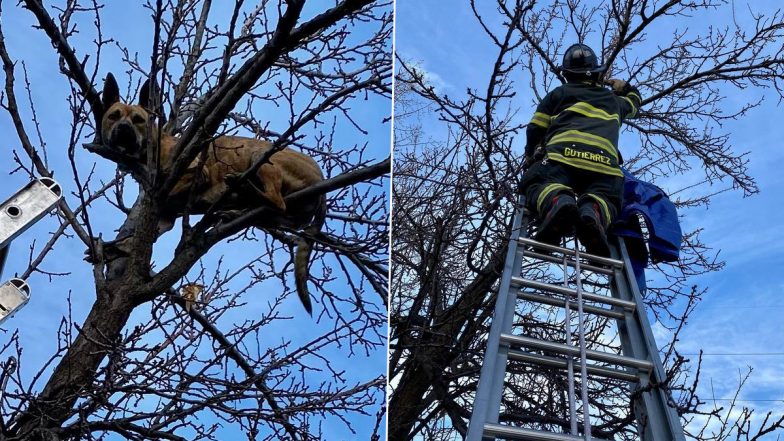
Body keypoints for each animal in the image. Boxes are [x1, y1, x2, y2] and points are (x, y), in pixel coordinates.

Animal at [88, 73, 324, 312]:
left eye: (139, 120)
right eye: (113, 116)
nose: (124, 128)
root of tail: (320, 178)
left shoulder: (195, 175)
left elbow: (166, 195)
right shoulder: (165, 217)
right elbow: (136, 237)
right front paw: (113, 248)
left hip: (261, 156)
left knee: (276, 200)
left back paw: (241, 187)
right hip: (274, 214)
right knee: (270, 210)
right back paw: (235, 210)